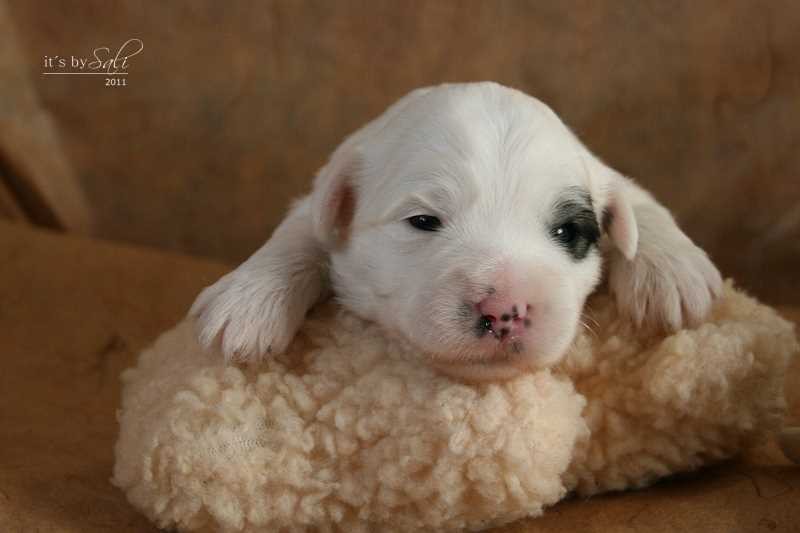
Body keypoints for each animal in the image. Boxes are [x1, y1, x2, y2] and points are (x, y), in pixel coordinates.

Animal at [191, 83, 720, 380]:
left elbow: (634, 196)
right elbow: (302, 229)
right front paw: (248, 300)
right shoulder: (319, 199)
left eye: (567, 231)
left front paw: (673, 270)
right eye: (423, 221)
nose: (506, 309)